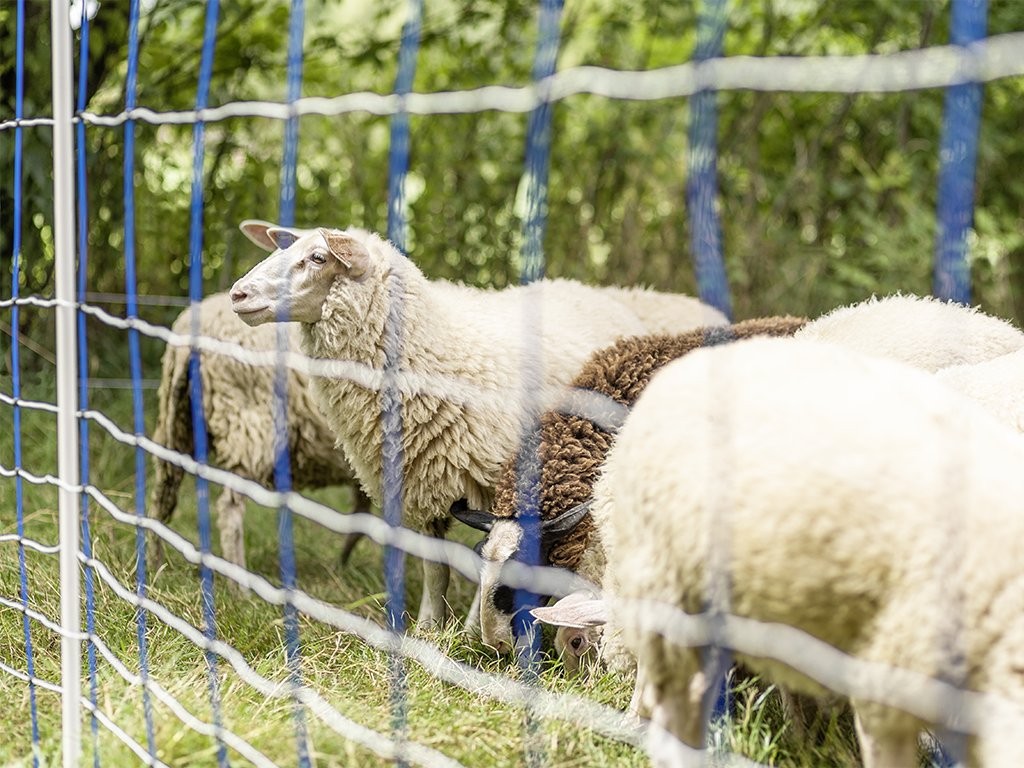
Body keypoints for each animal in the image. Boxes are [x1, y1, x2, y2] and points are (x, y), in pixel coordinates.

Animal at [149, 291, 372, 580]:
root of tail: (190, 334)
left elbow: (361, 518)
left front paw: (340, 567)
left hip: (175, 424)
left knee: (161, 497)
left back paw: (155, 567)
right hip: (249, 429)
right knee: (229, 508)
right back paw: (239, 584)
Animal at [228, 222, 724, 627]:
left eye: (317, 258)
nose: (238, 294)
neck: (433, 349)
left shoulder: (494, 481)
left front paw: (469, 631)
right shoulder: (419, 483)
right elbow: (435, 567)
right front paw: (429, 628)